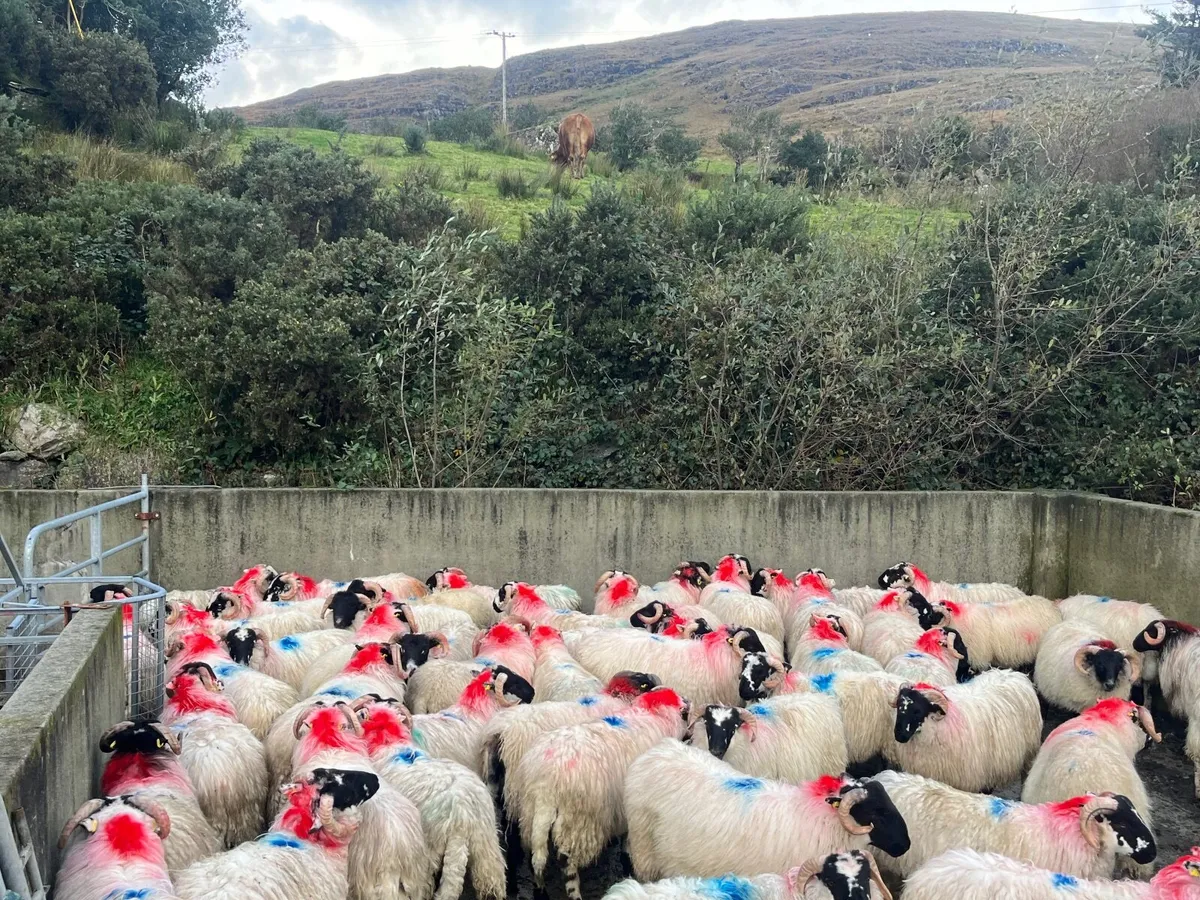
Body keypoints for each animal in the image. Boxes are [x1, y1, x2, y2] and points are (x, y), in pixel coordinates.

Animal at [511, 686, 692, 900]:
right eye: (686, 713)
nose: (690, 736)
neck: (654, 715)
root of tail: (545, 785)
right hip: (579, 824)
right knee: (567, 863)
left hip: (529, 814)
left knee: (535, 858)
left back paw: (540, 890)